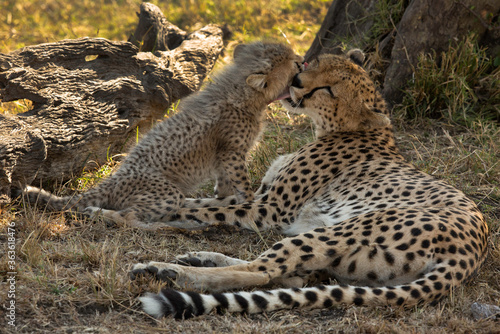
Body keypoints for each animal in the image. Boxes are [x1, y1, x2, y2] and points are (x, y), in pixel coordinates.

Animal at [20, 40, 304, 226]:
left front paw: (228, 199)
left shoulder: (224, 157)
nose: (303, 60)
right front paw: (248, 202)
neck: (242, 95)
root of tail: (113, 179)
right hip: (164, 191)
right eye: (292, 63)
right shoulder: (232, 152)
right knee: (129, 217)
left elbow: (224, 184)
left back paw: (207, 205)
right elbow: (243, 185)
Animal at [131, 49, 490, 318]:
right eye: (314, 64)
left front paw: (122, 212)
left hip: (340, 230)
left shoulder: (268, 208)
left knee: (262, 271)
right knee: (287, 275)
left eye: (328, 90)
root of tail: (471, 253)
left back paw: (166, 271)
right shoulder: (261, 198)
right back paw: (199, 257)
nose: (297, 81)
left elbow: (199, 210)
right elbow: (199, 203)